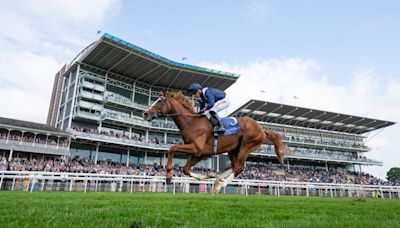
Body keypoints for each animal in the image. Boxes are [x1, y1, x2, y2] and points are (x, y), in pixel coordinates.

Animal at [144, 91, 290, 192]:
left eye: (159, 101)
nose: (145, 114)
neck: (191, 122)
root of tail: (261, 128)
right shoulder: (199, 153)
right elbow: (185, 169)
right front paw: (209, 175)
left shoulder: (196, 148)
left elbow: (172, 148)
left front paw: (169, 175)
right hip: (233, 149)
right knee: (235, 166)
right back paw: (217, 178)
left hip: (246, 146)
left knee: (239, 168)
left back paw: (219, 185)